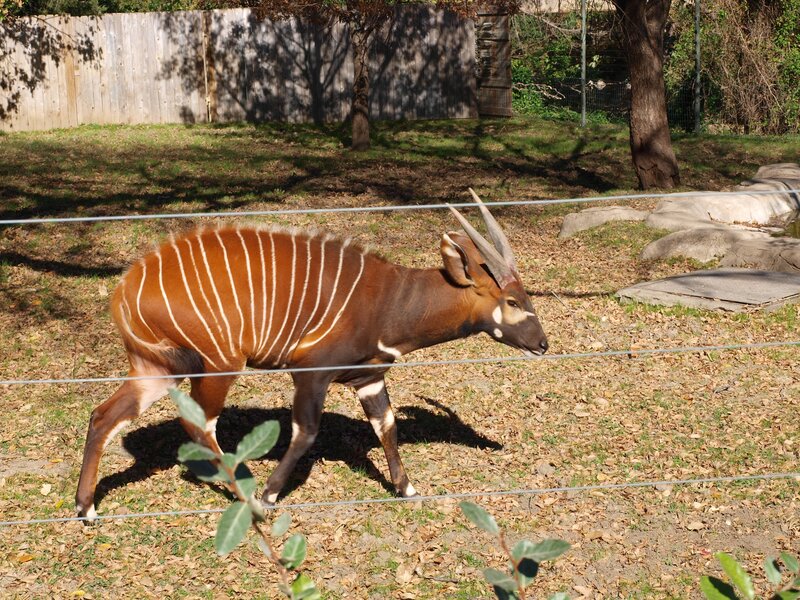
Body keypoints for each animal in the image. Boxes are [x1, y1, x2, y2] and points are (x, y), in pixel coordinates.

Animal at [75, 191, 548, 519]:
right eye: (511, 300)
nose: (543, 344)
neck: (391, 302)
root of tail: (124, 289)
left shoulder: (368, 377)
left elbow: (388, 427)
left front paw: (408, 490)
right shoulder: (311, 374)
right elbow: (305, 433)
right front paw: (270, 495)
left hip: (158, 368)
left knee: (103, 415)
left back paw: (86, 508)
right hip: (218, 364)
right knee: (199, 425)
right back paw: (247, 497)